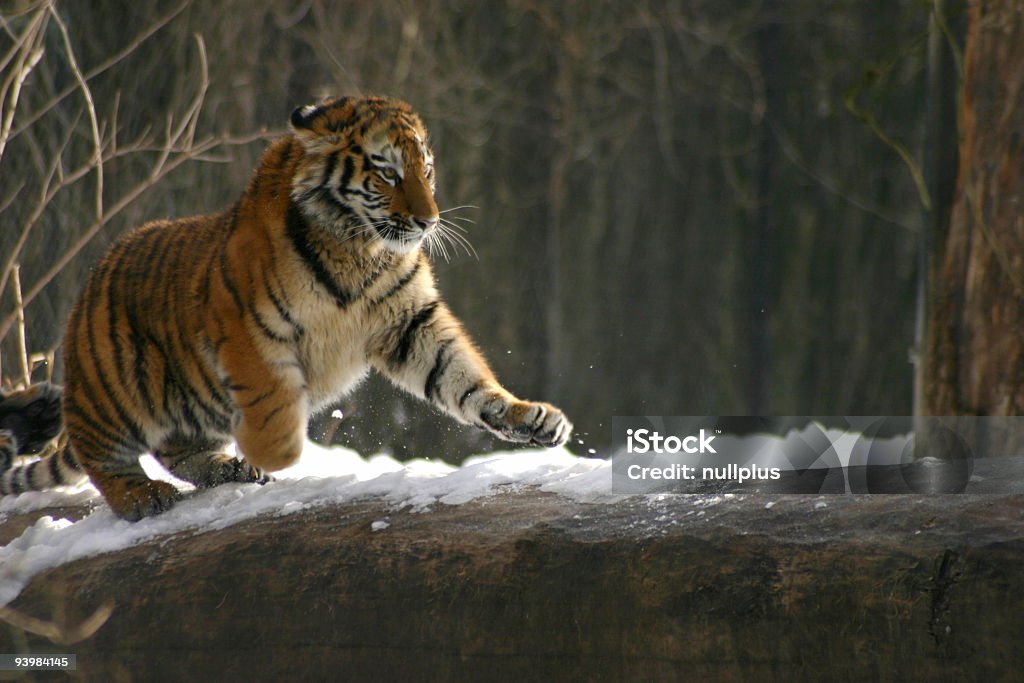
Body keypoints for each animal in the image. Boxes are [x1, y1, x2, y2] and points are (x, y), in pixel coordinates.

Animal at [0, 97, 569, 524]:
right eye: (388, 173)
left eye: (426, 171)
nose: (429, 221)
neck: (360, 246)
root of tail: (90, 283)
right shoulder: (248, 328)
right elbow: (272, 397)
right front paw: (278, 450)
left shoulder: (410, 322)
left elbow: (463, 377)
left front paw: (530, 419)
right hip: (114, 384)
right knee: (101, 455)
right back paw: (143, 495)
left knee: (174, 449)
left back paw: (228, 469)